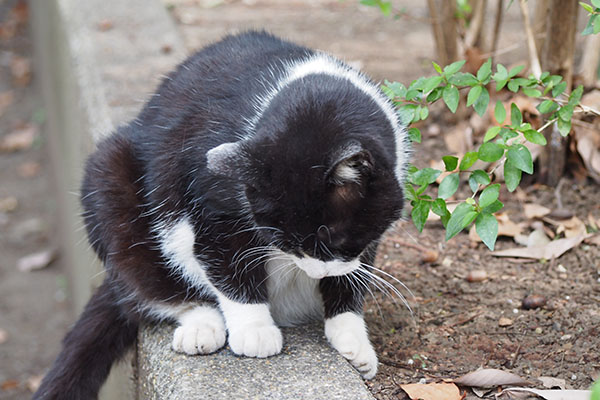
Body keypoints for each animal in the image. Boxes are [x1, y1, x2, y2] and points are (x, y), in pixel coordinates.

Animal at [32, 29, 408, 398]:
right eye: (281, 239)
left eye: (331, 238)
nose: (314, 270)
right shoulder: (211, 201)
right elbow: (228, 263)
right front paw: (255, 330)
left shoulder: (368, 236)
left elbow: (352, 276)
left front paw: (352, 337)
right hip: (110, 180)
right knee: (148, 284)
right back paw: (201, 326)